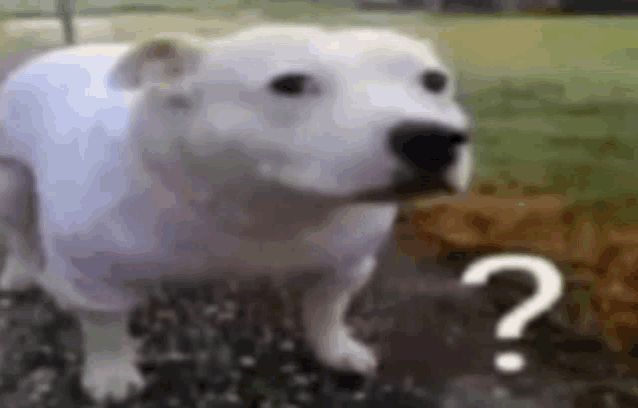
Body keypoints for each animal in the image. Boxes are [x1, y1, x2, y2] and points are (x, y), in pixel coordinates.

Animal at [0, 25, 476, 402]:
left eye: (435, 80)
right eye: (290, 84)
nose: (433, 138)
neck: (261, 204)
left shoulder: (346, 264)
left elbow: (327, 309)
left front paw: (335, 348)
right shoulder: (90, 278)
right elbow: (104, 329)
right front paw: (111, 373)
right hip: (12, 179)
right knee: (20, 228)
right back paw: (22, 272)